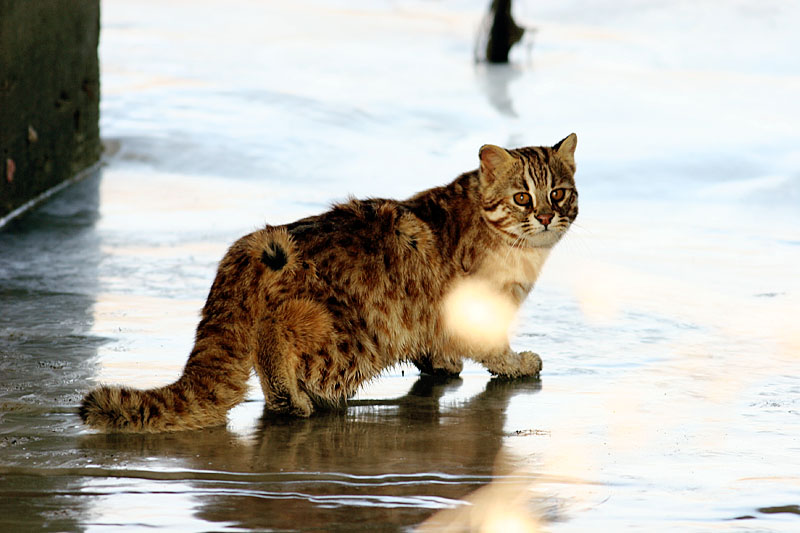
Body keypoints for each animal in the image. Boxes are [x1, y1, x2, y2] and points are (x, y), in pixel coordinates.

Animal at [81, 134, 580, 432]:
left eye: (559, 193)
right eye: (522, 197)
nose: (545, 215)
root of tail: (252, 245)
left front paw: (440, 361)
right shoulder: (478, 307)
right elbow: (493, 347)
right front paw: (515, 362)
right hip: (350, 336)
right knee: (276, 337)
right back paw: (291, 397)